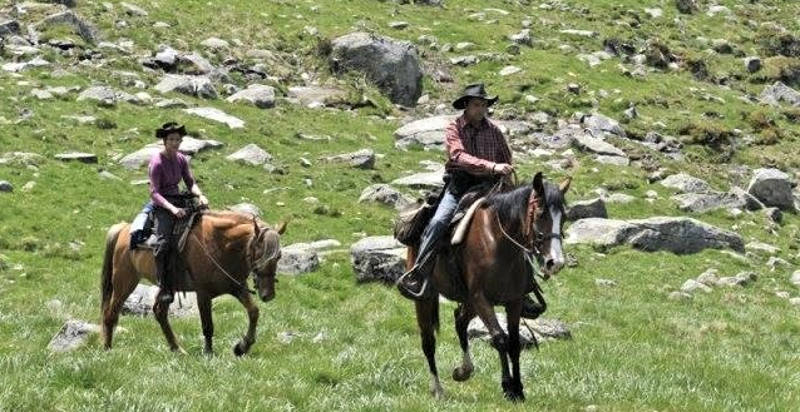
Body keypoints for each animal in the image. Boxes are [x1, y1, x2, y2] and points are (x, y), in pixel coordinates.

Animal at [100, 210, 286, 356]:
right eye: (260, 254)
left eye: (278, 256)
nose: (268, 294)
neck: (220, 244)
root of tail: (123, 229)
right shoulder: (203, 293)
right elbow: (208, 325)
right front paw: (209, 353)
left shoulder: (237, 288)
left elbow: (254, 312)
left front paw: (242, 347)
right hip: (125, 281)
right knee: (110, 313)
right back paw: (107, 349)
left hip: (165, 288)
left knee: (159, 312)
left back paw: (177, 349)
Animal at [406, 172, 570, 401]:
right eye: (539, 214)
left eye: (563, 217)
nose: (555, 263)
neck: (497, 243)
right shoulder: (481, 298)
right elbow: (500, 338)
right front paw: (508, 387)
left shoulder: (514, 301)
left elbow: (514, 343)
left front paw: (519, 389)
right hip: (426, 297)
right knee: (428, 341)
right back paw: (437, 389)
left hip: (469, 302)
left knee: (460, 321)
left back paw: (463, 370)